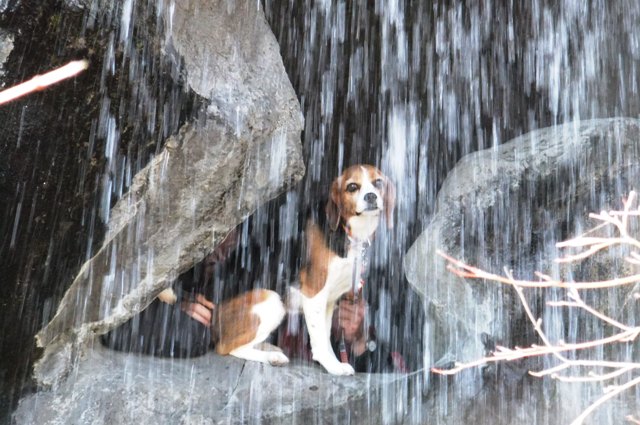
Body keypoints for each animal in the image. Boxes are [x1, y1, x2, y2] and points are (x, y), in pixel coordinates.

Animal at [158, 164, 392, 372]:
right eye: (352, 187)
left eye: (378, 182)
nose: (371, 197)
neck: (348, 232)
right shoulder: (314, 294)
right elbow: (319, 340)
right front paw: (332, 366)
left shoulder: (330, 301)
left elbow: (325, 337)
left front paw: (332, 362)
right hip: (272, 300)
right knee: (227, 347)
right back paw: (271, 357)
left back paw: (269, 347)